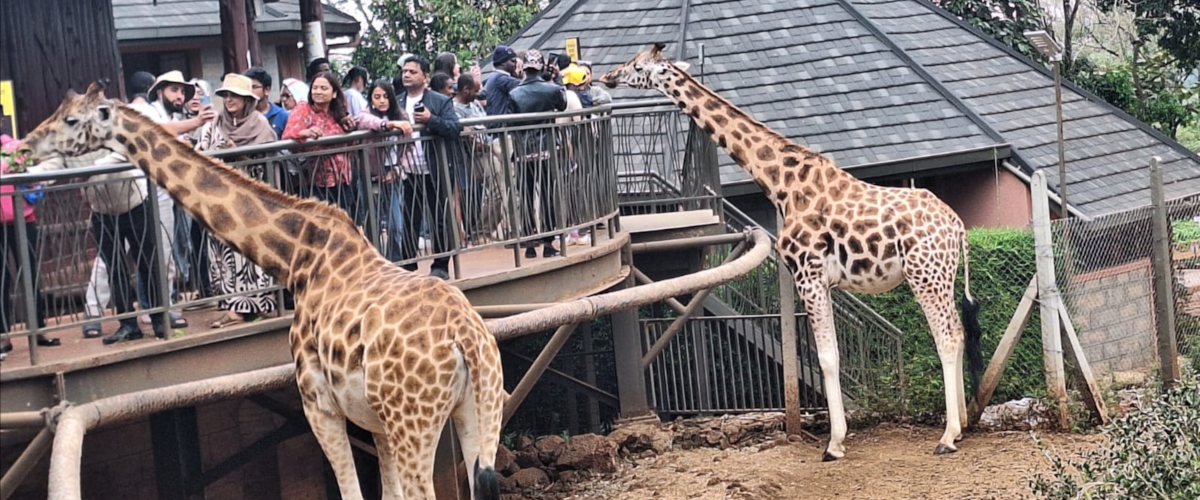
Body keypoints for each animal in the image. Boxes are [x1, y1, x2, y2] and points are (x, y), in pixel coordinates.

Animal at [17, 82, 505, 500]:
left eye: (71, 120)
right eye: (58, 112)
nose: (24, 148)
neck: (296, 257)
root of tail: (467, 337)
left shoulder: (318, 403)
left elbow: (352, 492)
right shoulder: (373, 419)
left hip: (414, 419)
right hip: (475, 407)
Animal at [600, 44, 984, 460]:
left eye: (638, 66)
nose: (608, 77)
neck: (780, 183)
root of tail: (957, 226)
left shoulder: (808, 273)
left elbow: (827, 357)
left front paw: (834, 444)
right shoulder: (822, 281)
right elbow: (829, 354)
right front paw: (837, 438)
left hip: (924, 275)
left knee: (946, 337)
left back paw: (947, 436)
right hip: (942, 276)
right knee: (959, 331)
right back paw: (962, 426)